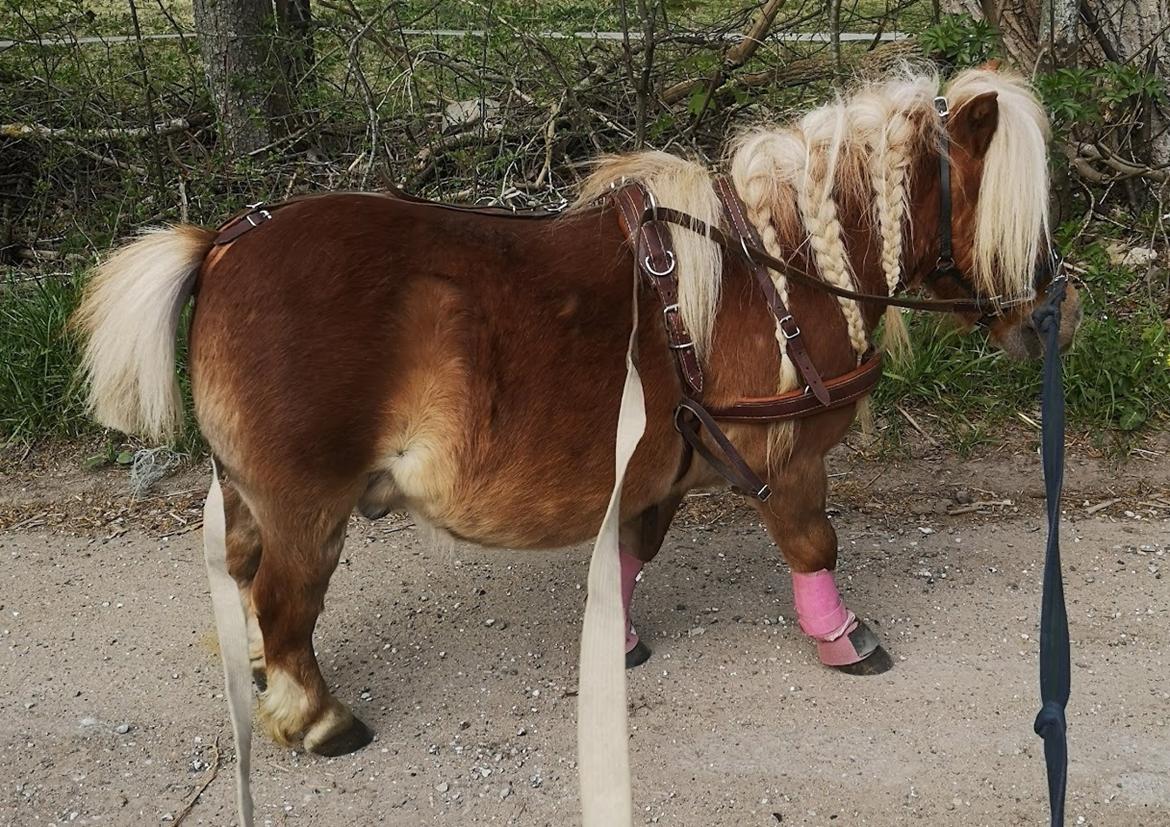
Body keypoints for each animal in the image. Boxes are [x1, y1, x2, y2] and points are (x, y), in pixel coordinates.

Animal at [75, 67, 1076, 757]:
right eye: (1008, 206)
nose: (1051, 311)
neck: (777, 266)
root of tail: (222, 244)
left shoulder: (661, 462)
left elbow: (633, 551)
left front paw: (618, 639)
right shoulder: (788, 462)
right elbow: (812, 544)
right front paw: (841, 637)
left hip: (249, 492)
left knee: (245, 575)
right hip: (306, 505)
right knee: (286, 601)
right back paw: (318, 717)